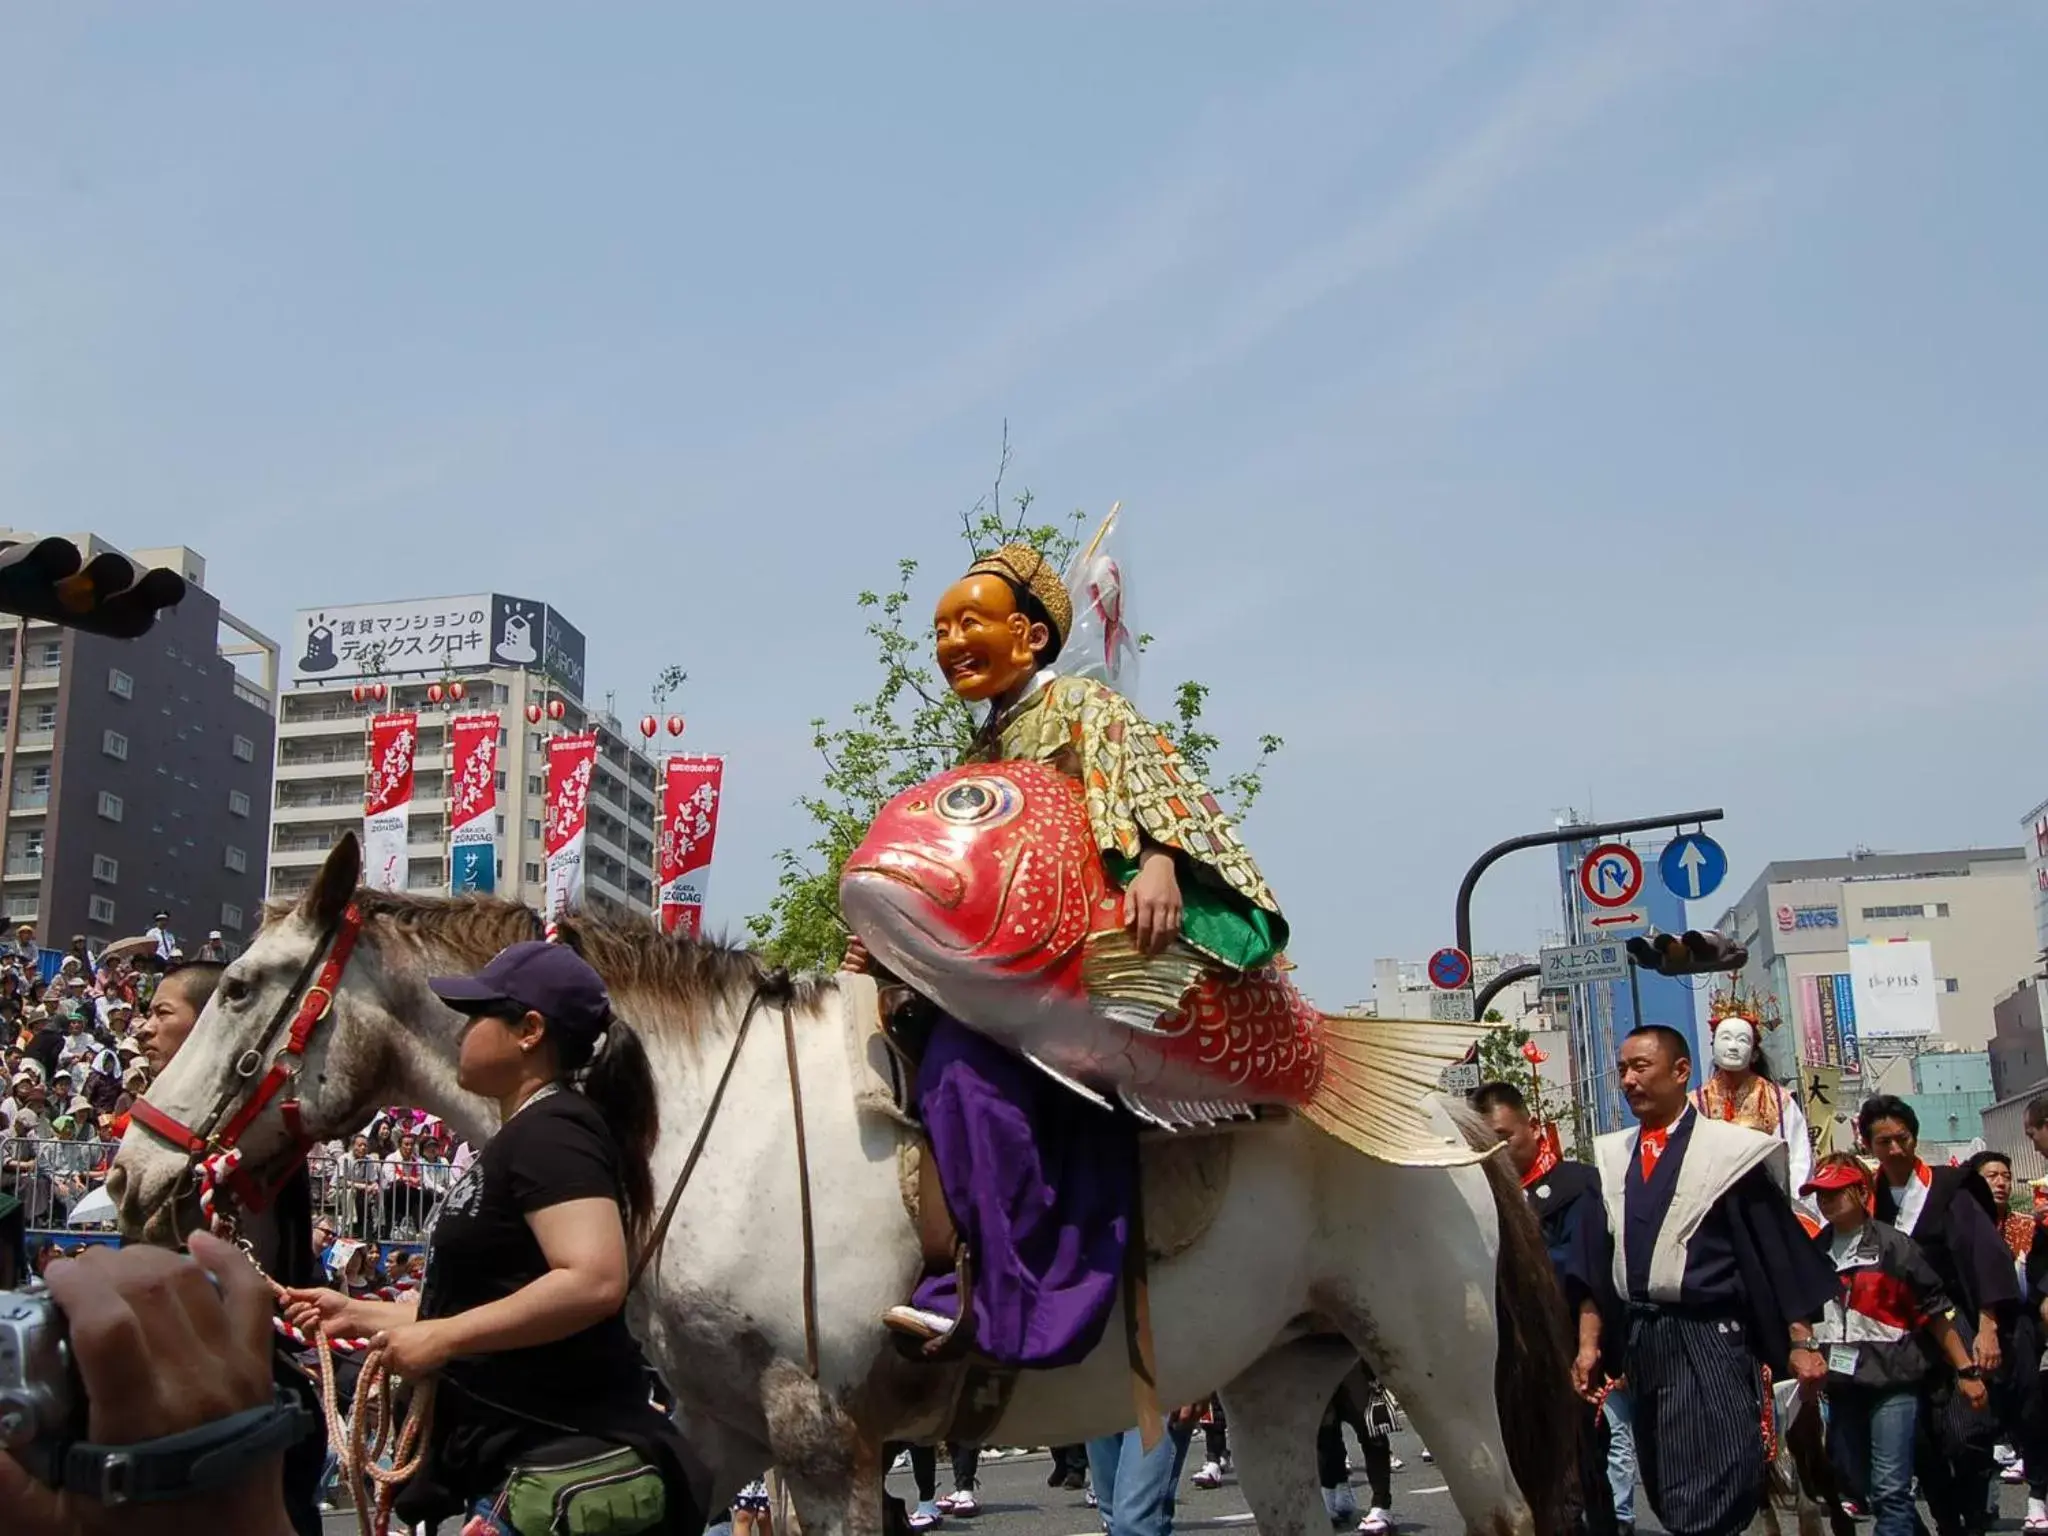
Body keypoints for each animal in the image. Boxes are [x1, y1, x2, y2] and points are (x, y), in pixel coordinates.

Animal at [112, 843, 1572, 1536]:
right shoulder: (715, 1434)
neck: (690, 1119)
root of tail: (1450, 1102)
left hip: (1435, 1365)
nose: (130, 1172)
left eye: (241, 990)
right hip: (1281, 1370)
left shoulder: (825, 1440)